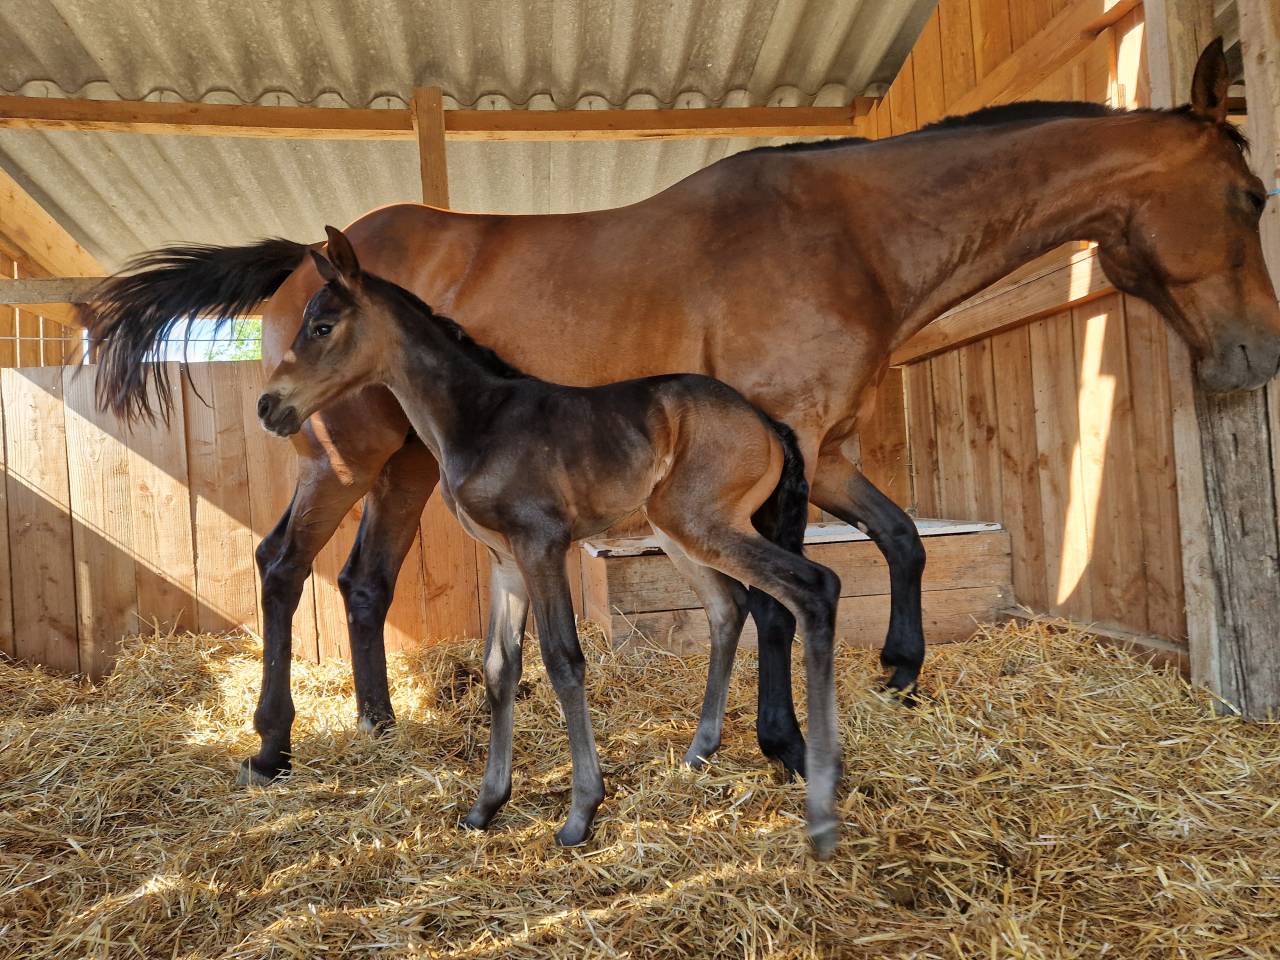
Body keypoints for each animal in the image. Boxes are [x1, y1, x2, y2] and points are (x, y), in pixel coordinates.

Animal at [85, 40, 1280, 791]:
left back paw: (385, 727)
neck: (848, 235)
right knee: (283, 567)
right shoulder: (778, 462)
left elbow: (898, 540)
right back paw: (273, 747)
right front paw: (782, 741)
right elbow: (782, 604)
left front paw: (897, 668)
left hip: (409, 468)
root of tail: (310, 254)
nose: (1256, 355)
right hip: (342, 453)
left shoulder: (820, 452)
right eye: (1252, 196)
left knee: (365, 584)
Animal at [259, 226, 844, 854]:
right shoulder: (505, 560)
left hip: (705, 524)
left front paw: (582, 811)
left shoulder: (541, 546)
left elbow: (564, 660)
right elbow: (499, 669)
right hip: (677, 530)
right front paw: (486, 805)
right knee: (728, 607)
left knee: (812, 586)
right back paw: (699, 753)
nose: (269, 406)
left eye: (323, 326)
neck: (481, 419)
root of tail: (768, 423)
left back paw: (820, 793)